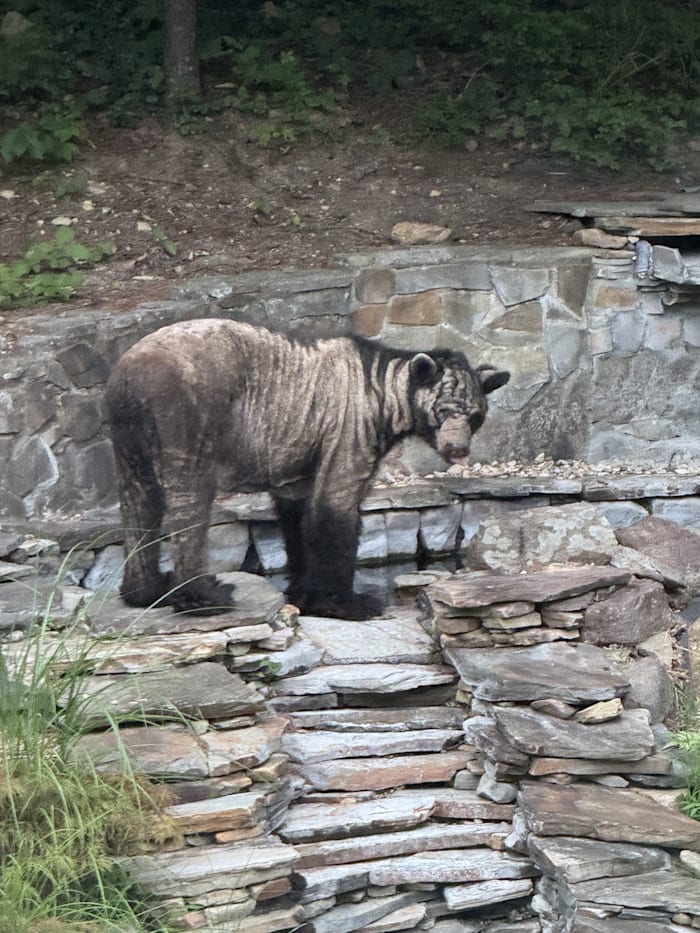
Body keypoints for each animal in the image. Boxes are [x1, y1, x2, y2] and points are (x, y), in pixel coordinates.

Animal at [105, 319, 509, 620]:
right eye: (443, 410)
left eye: (475, 415)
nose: (457, 448)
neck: (381, 389)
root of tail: (130, 375)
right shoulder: (348, 427)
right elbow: (335, 506)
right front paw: (345, 602)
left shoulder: (299, 447)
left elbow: (295, 510)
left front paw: (302, 590)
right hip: (186, 411)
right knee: (187, 499)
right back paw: (203, 595)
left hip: (127, 434)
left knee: (139, 496)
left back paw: (145, 590)